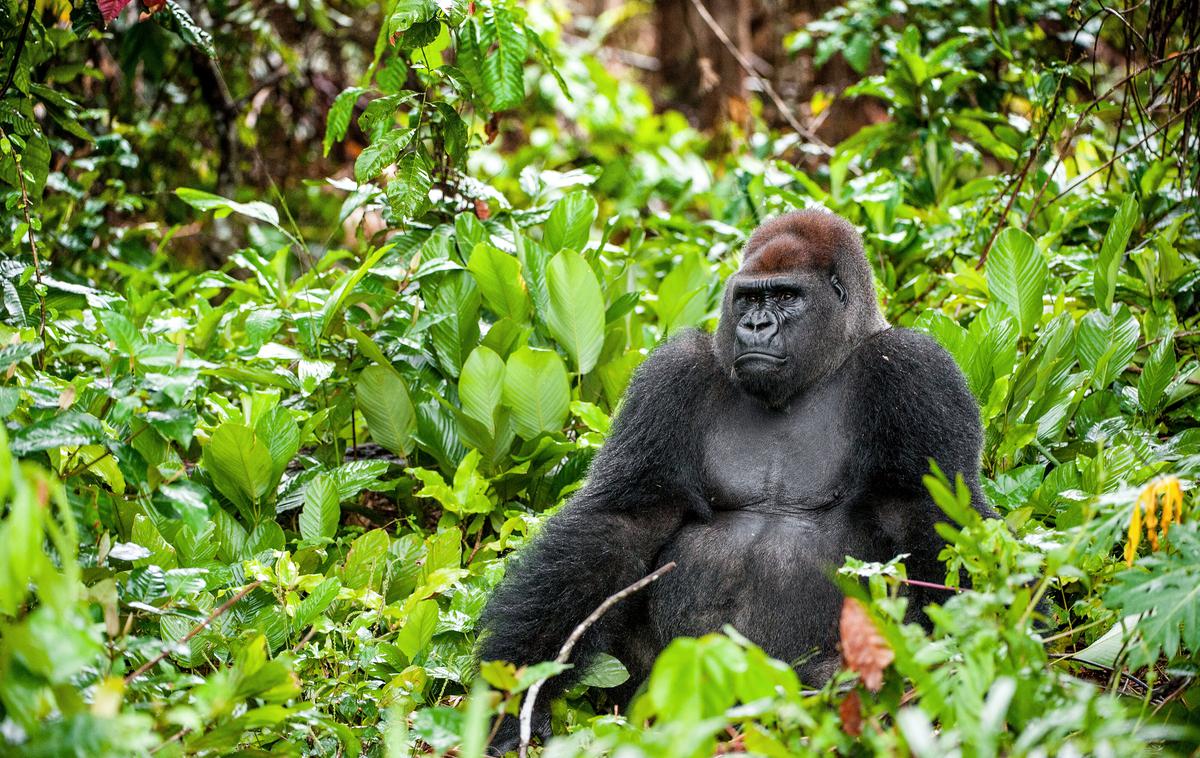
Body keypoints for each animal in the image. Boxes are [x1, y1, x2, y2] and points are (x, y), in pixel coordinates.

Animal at [475, 209, 993, 743]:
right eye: (747, 298)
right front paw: (516, 695)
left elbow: (930, 518)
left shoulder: (916, 370)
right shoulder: (673, 373)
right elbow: (624, 523)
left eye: (785, 296)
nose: (755, 325)